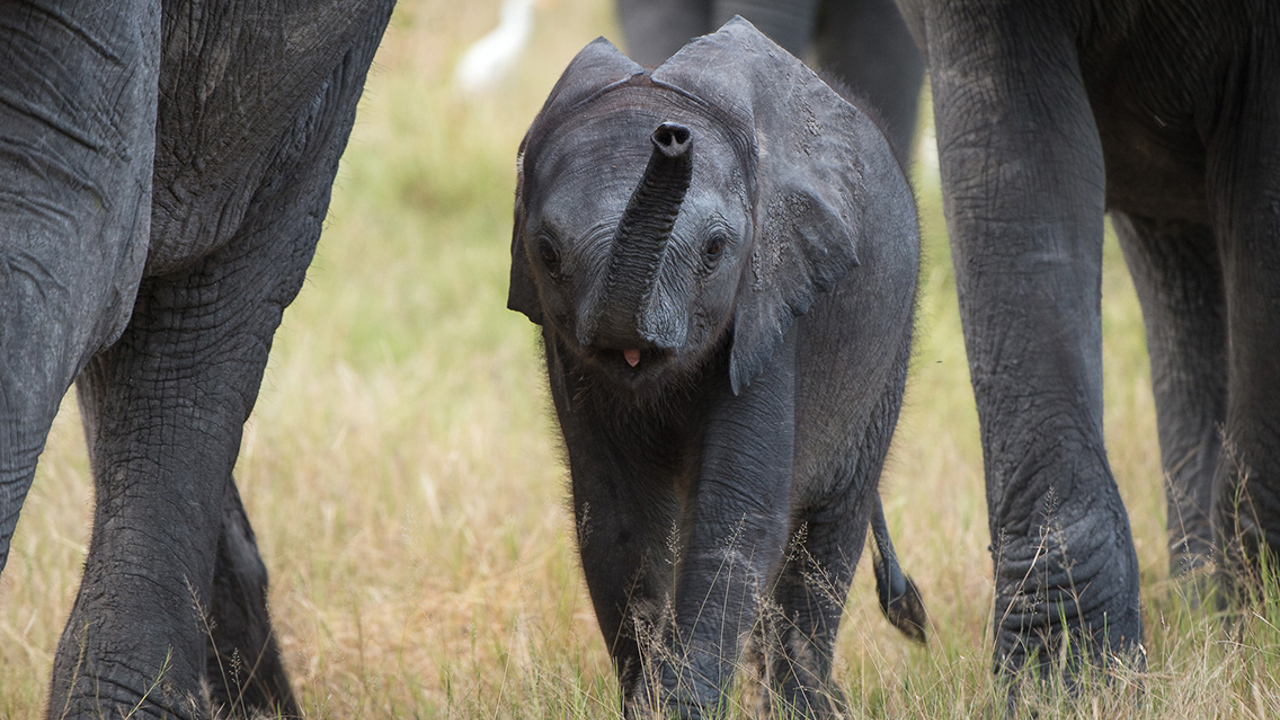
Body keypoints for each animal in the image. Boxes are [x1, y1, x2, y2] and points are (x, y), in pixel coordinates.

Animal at [508, 19, 922, 717]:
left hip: (890, 344)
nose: (672, 137)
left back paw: (807, 703)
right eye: (547, 253)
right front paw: (649, 701)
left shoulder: (774, 299)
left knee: (831, 526)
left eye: (714, 249)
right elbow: (612, 516)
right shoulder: (564, 346)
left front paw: (677, 706)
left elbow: (738, 511)